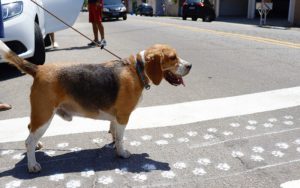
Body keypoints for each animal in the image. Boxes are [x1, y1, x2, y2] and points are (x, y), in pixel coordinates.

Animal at [0, 41, 192, 173]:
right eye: (172, 58)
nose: (190, 65)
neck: (137, 70)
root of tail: (38, 69)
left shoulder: (116, 118)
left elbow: (114, 132)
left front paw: (114, 144)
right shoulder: (123, 116)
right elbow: (121, 138)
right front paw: (121, 153)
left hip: (41, 115)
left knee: (30, 130)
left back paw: (38, 146)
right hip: (45, 115)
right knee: (28, 141)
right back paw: (32, 164)